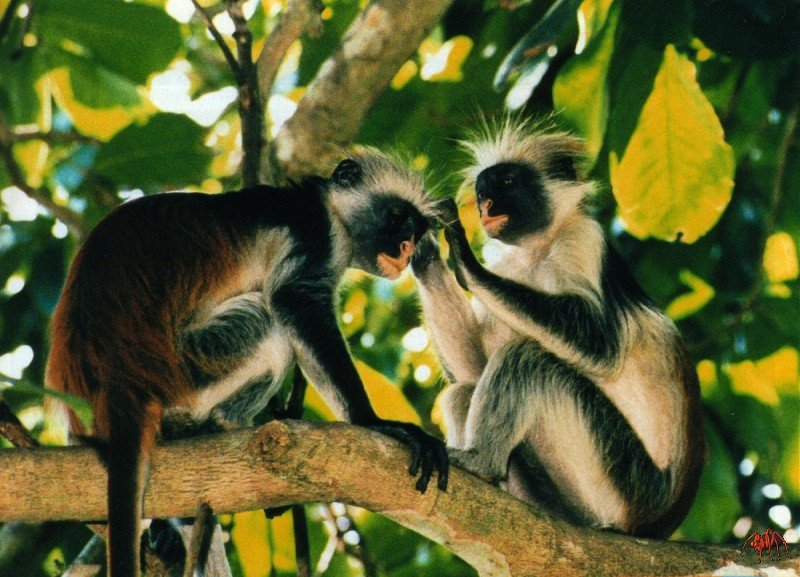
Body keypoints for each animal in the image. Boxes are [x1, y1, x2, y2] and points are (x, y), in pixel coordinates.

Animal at [47, 150, 450, 576]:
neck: (328, 208)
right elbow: (295, 302)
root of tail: (117, 384)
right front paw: (374, 423)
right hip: (194, 363)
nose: (406, 247)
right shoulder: (315, 232)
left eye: (415, 230)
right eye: (397, 217)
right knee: (271, 322)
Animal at [416, 120, 704, 536]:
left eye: (505, 183)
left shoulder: (582, 239)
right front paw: (422, 249)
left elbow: (601, 344)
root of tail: (654, 525)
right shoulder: (510, 266)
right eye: (482, 192)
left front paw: (464, 256)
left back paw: (480, 462)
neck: (538, 250)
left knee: (529, 357)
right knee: (464, 389)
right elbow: (472, 366)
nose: (485, 207)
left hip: (622, 480)